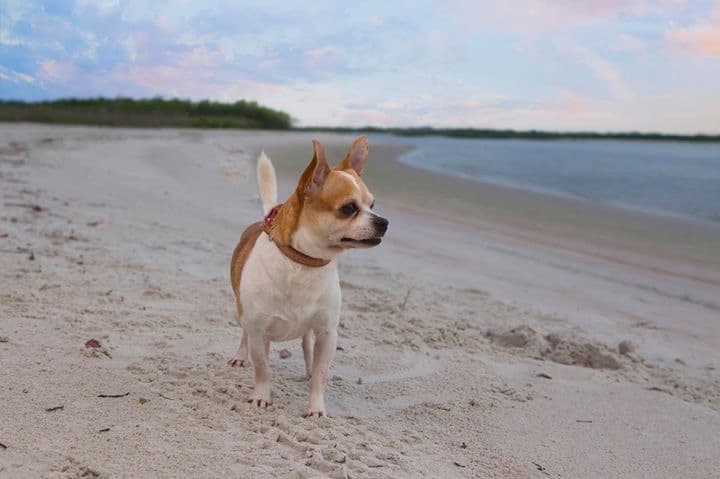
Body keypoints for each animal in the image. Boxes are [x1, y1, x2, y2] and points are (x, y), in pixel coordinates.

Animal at [229, 137, 388, 418]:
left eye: (372, 205)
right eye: (349, 208)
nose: (384, 222)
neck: (304, 264)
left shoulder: (327, 334)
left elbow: (320, 374)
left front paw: (316, 408)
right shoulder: (258, 329)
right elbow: (262, 367)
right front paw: (262, 396)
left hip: (309, 331)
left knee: (306, 347)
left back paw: (307, 368)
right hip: (244, 315)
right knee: (246, 337)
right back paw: (241, 355)